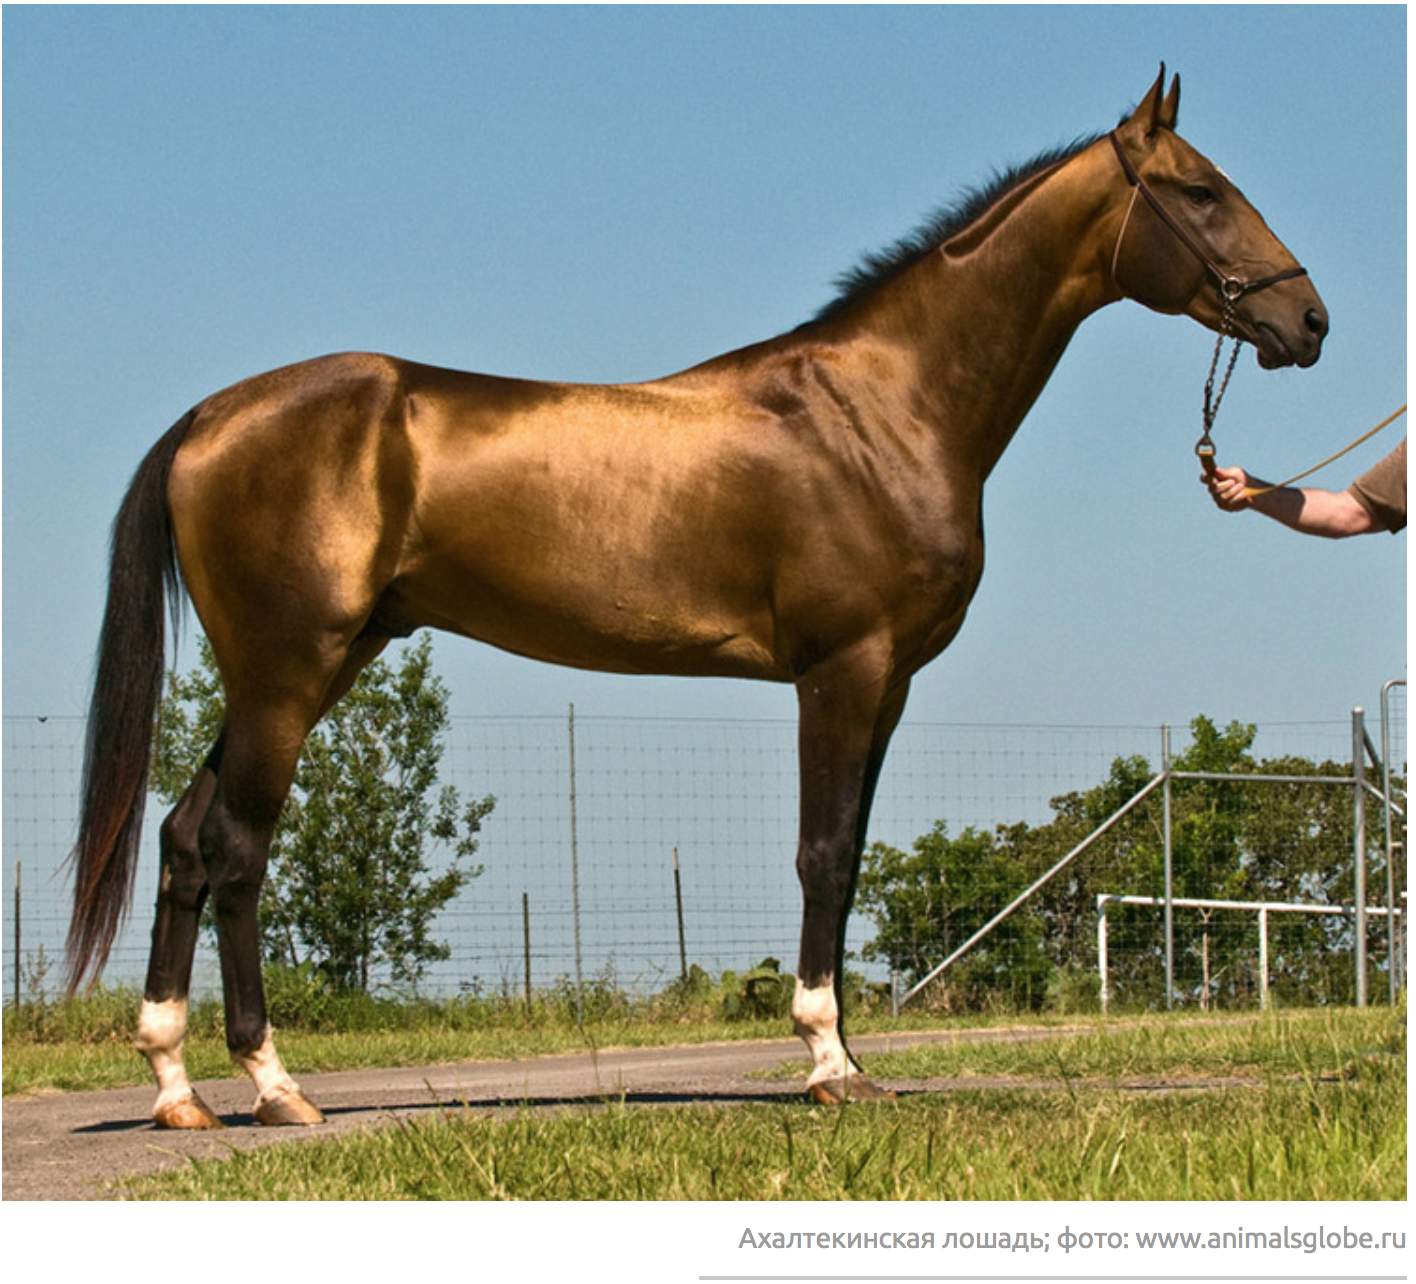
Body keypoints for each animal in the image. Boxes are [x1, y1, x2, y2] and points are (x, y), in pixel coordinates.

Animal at [69, 70, 1325, 1126]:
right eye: (1201, 191)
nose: (1308, 321)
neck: (884, 409)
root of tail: (209, 419)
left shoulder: (890, 686)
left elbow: (849, 863)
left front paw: (850, 1058)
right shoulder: (843, 668)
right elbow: (824, 855)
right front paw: (826, 1065)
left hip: (304, 670)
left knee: (184, 841)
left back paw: (177, 1087)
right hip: (289, 674)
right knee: (238, 849)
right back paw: (274, 1087)